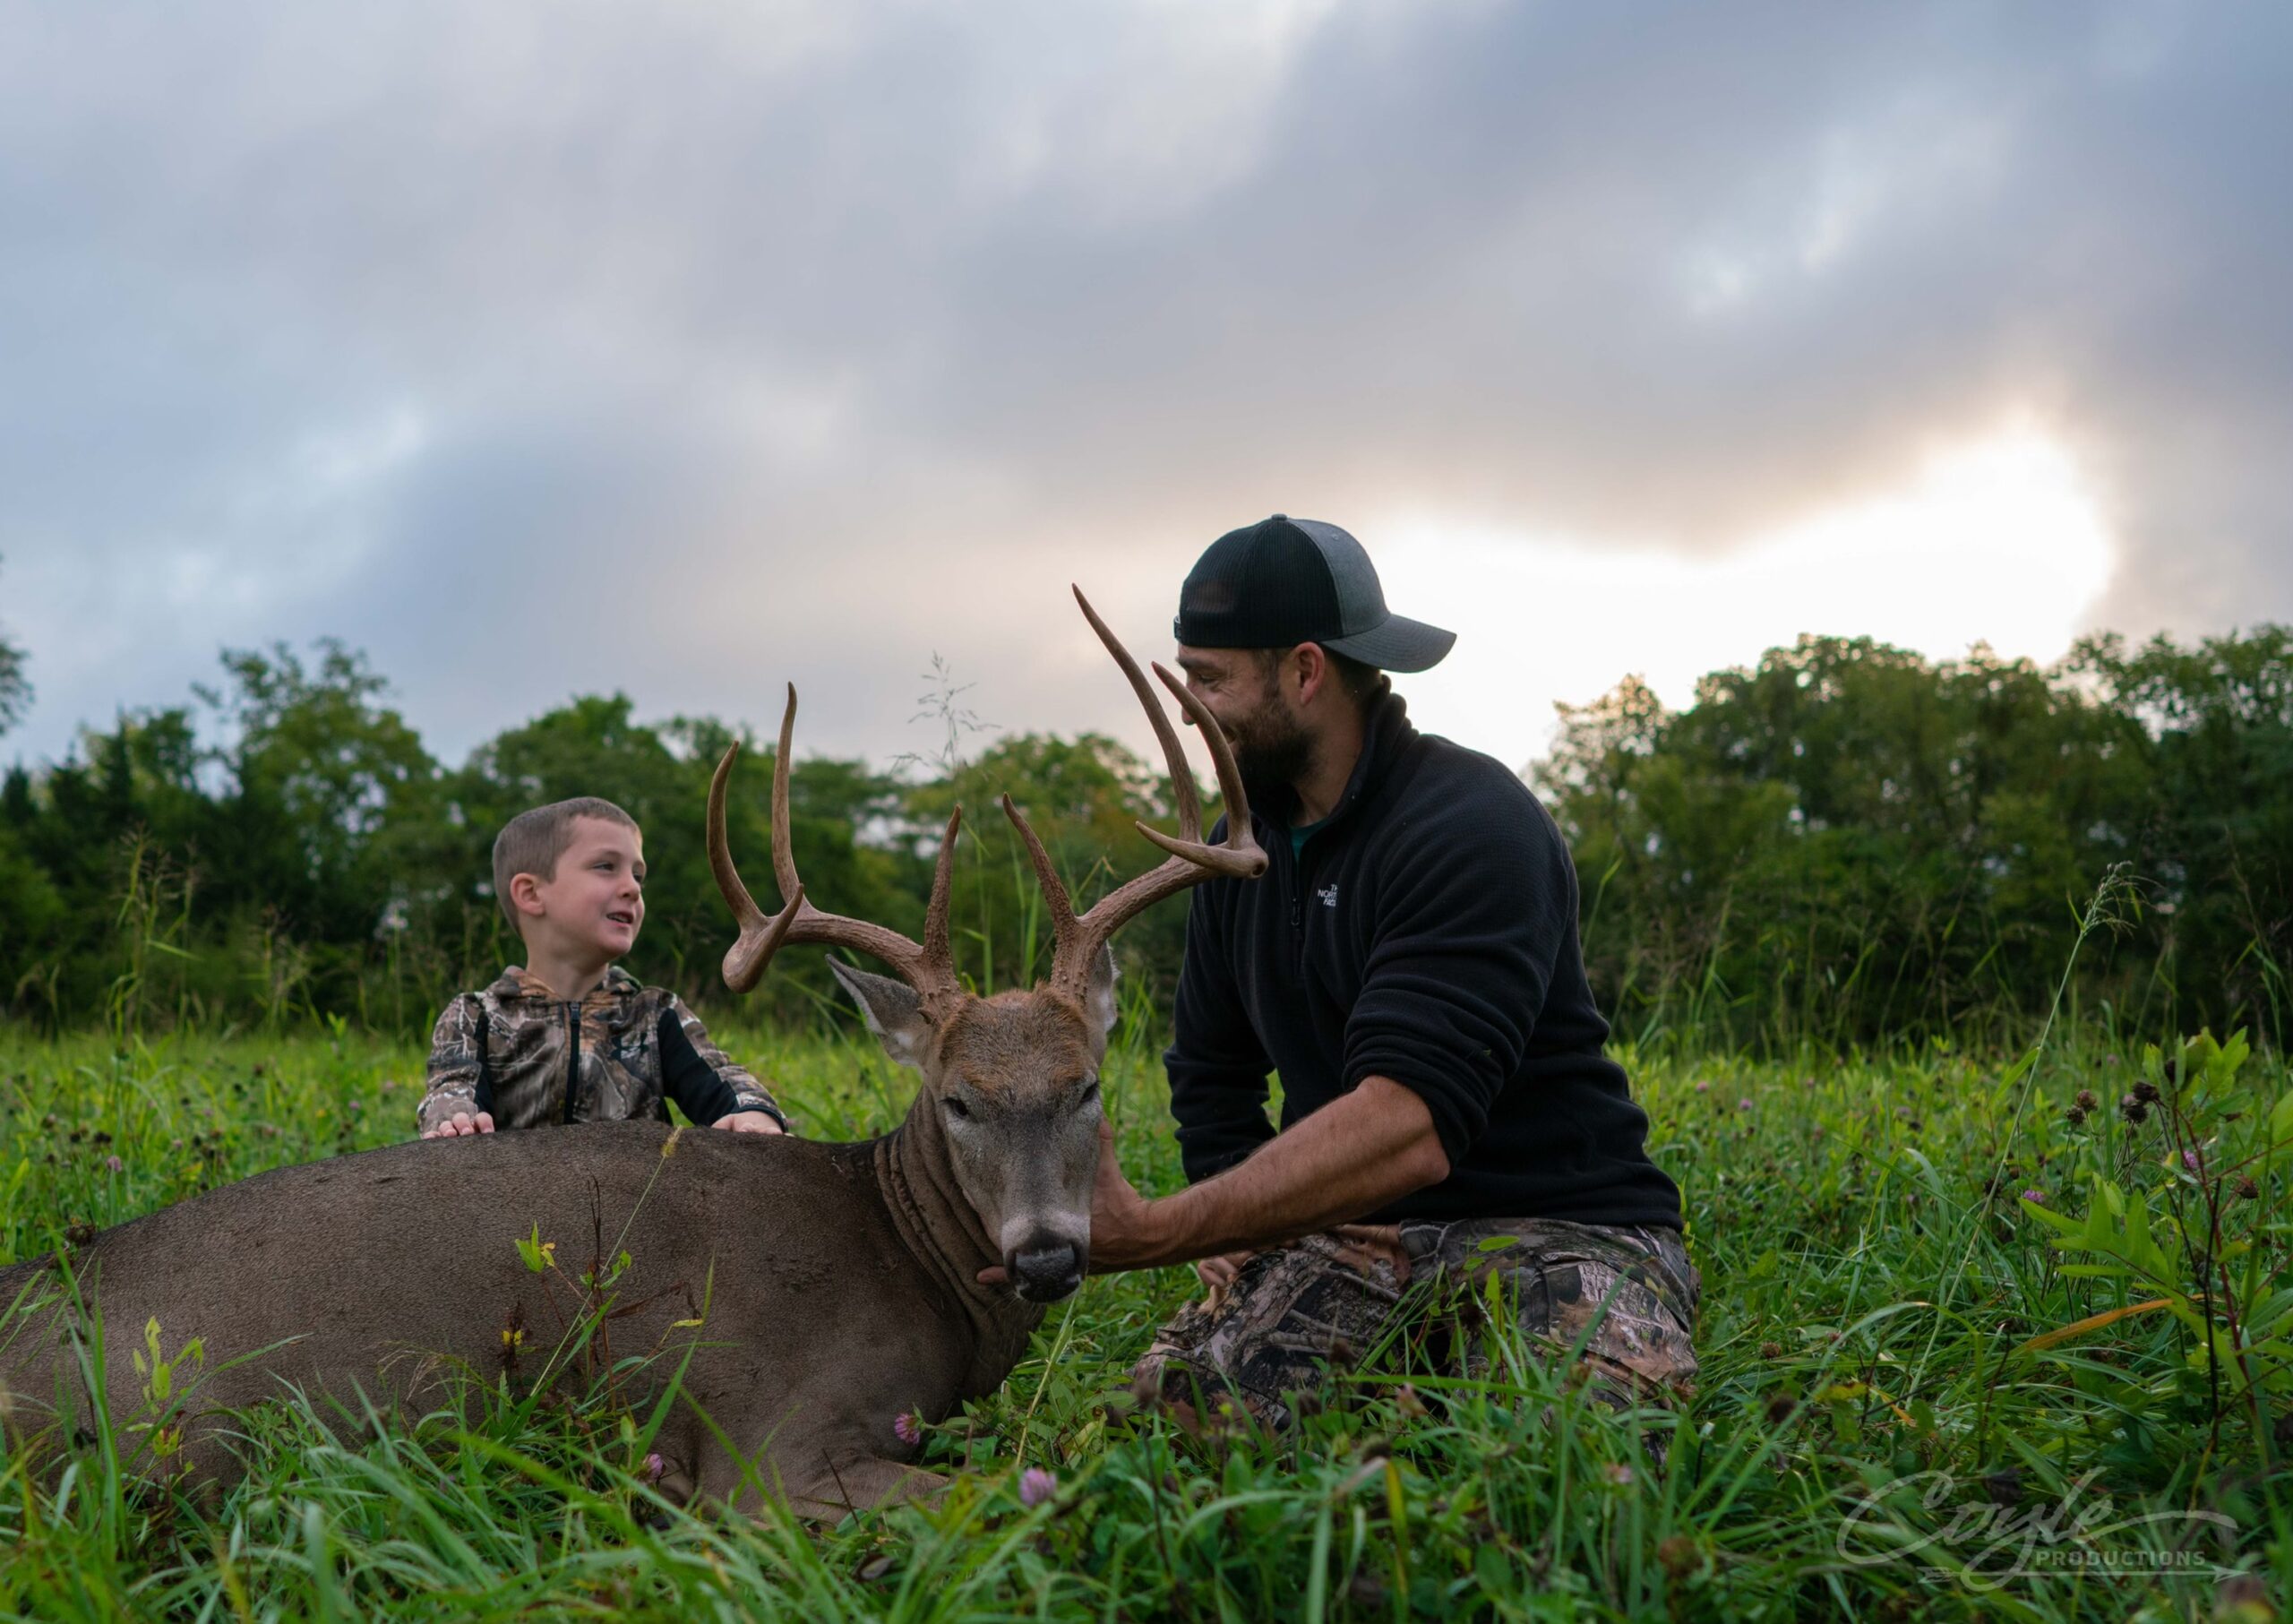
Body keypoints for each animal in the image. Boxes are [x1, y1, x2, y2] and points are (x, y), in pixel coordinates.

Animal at [0, 591, 1266, 1514]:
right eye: (956, 1100)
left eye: (1087, 1084)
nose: (1048, 1254)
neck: (911, 1256)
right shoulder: (774, 1444)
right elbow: (1024, 1494)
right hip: (187, 1436)